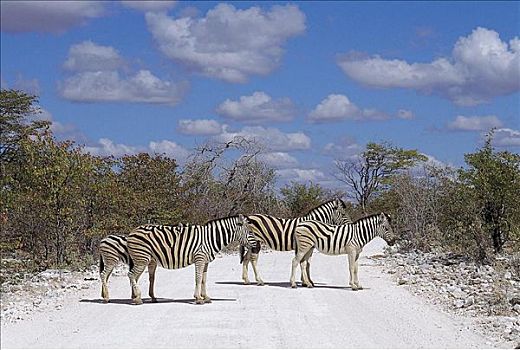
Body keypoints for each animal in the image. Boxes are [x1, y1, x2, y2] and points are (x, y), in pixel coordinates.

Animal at [126, 213, 256, 304]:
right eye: (250, 232)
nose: (258, 244)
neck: (210, 238)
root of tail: (133, 231)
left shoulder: (206, 262)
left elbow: (203, 279)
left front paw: (206, 297)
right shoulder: (200, 258)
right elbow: (198, 278)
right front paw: (198, 298)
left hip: (146, 260)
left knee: (136, 277)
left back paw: (137, 297)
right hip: (142, 258)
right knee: (131, 275)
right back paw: (138, 299)